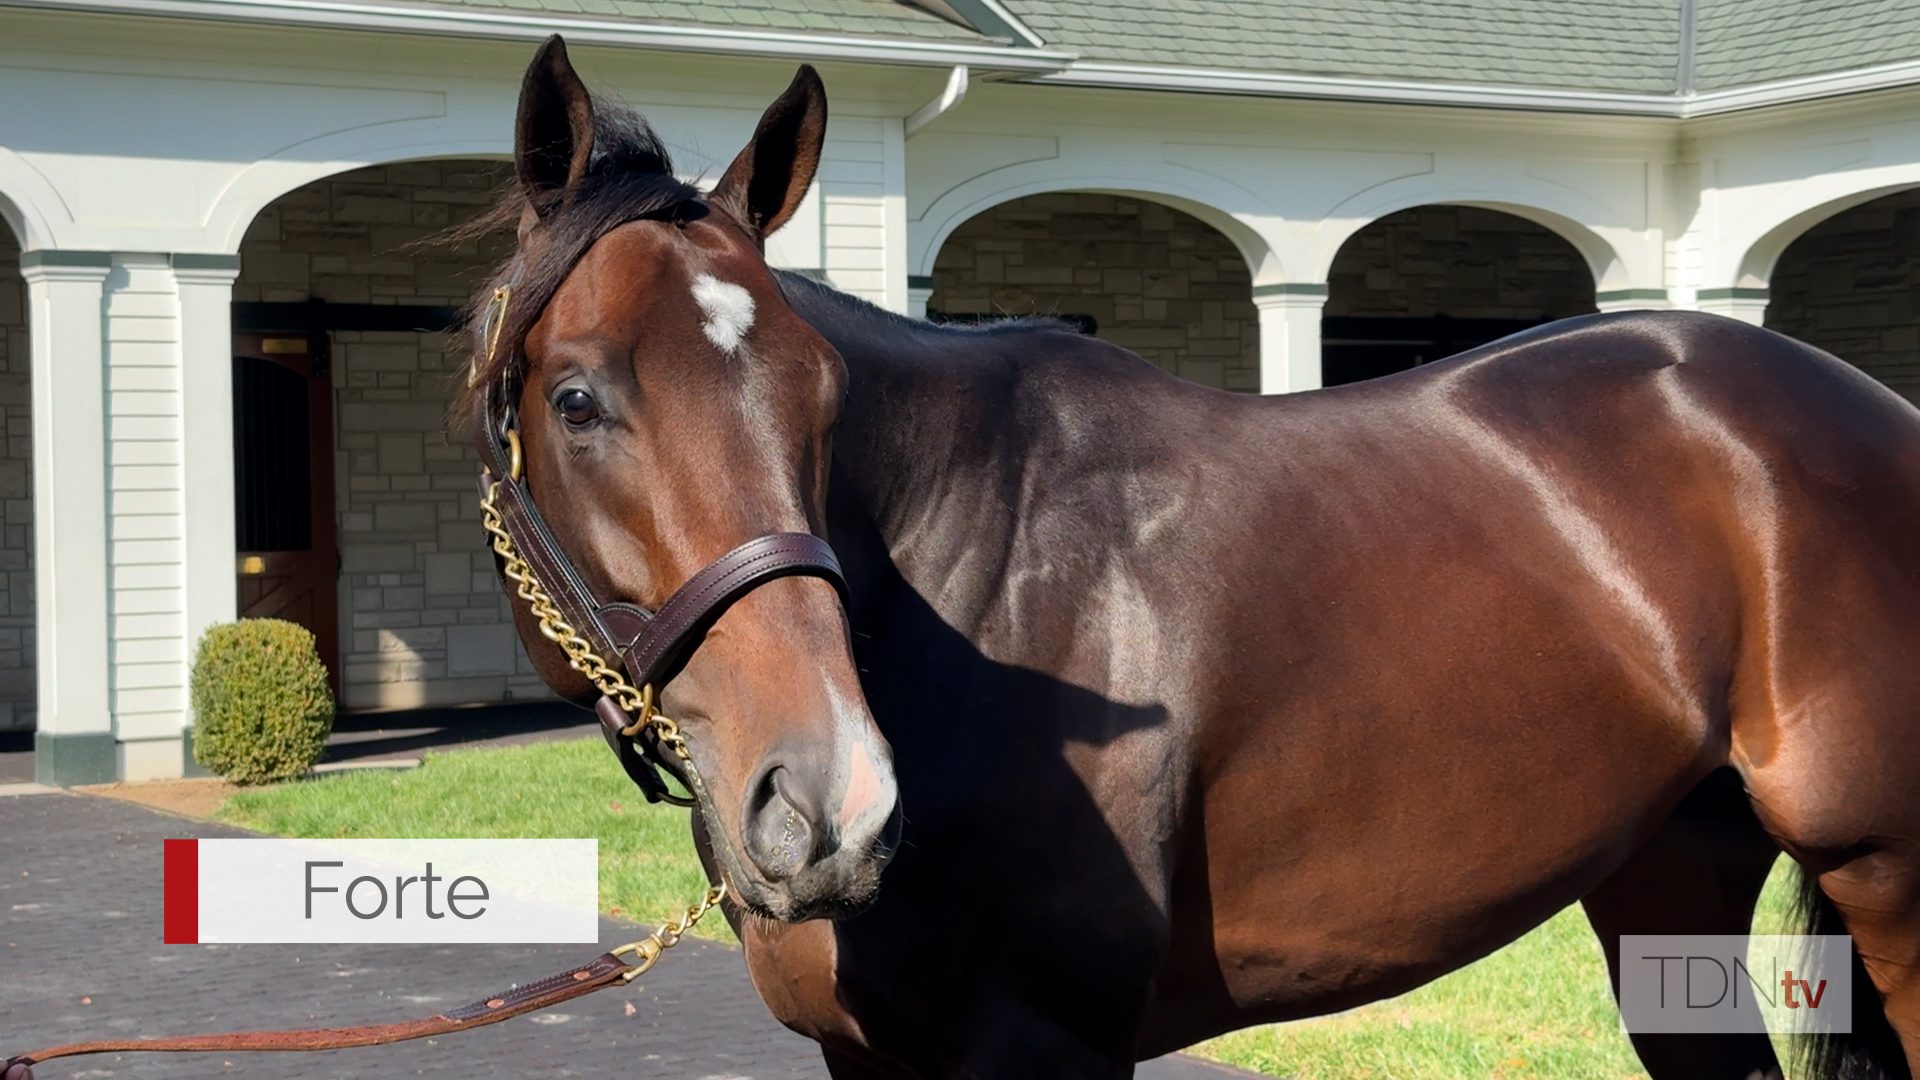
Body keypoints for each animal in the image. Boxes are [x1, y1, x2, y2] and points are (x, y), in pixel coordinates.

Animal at [464, 35, 1920, 1076]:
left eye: (822, 400)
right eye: (577, 399)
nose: (830, 804)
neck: (969, 593)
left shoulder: (1045, 1048)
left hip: (1888, 876)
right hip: (1666, 879)